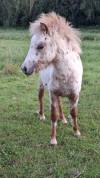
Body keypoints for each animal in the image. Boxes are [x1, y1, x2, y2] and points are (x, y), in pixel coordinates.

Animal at [21, 12, 83, 145]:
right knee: (40, 97)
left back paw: (63, 119)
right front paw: (53, 140)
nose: (24, 68)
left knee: (60, 104)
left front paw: (76, 132)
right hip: (42, 85)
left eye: (40, 46)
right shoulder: (53, 94)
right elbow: (53, 116)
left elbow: (74, 113)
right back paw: (42, 115)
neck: (67, 73)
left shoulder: (75, 95)